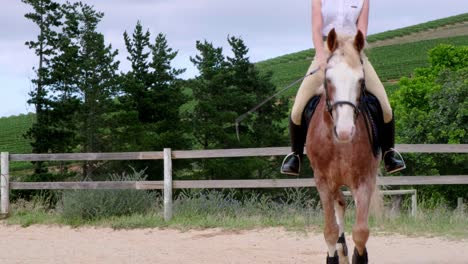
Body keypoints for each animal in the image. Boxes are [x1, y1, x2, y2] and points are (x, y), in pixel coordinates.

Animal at [308, 27, 382, 262]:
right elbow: (330, 231)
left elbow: (360, 233)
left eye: (361, 81)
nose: (344, 131)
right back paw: (341, 249)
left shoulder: (364, 181)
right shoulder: (323, 182)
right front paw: (334, 253)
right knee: (339, 204)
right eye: (328, 79)